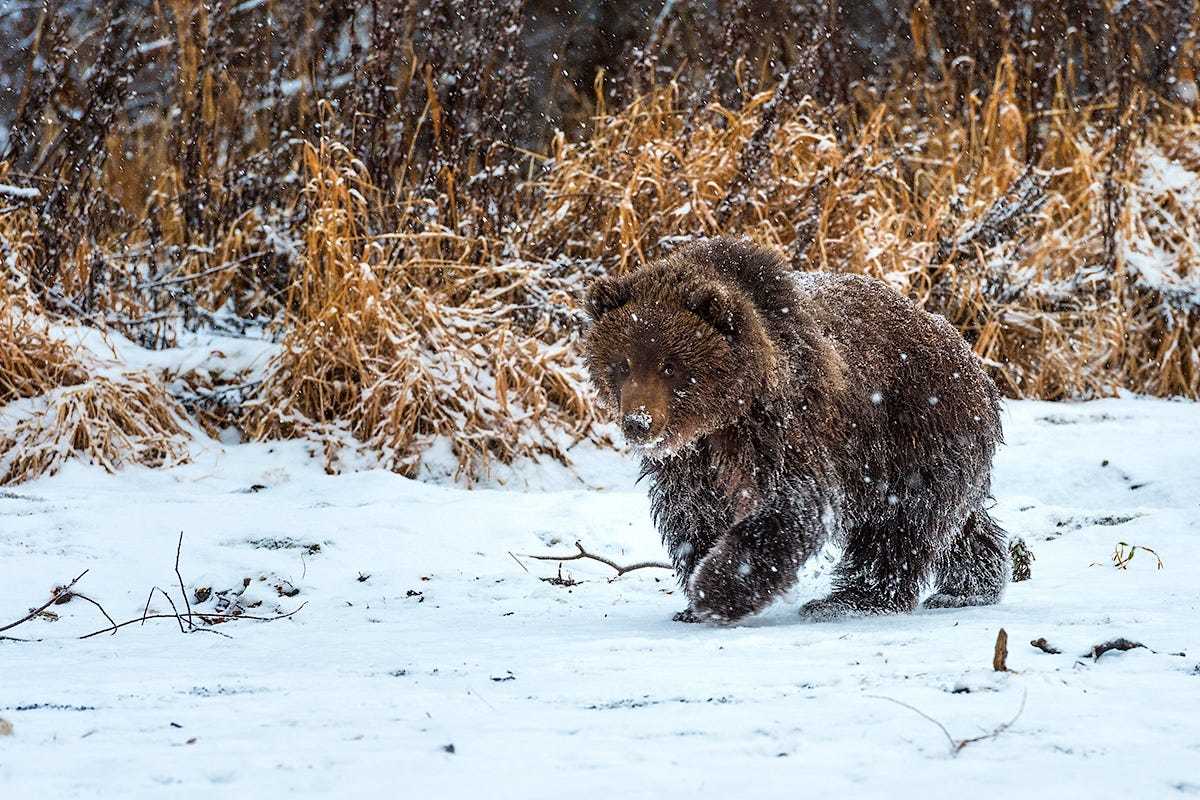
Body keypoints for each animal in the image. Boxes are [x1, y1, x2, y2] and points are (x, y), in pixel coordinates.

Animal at [578, 237, 1003, 623]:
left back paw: (849, 601)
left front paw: (715, 590)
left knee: (899, 523)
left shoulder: (783, 425)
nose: (639, 422)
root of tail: (967, 353)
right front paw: (696, 592)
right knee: (956, 522)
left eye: (670, 365)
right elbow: (693, 511)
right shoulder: (691, 459)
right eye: (622, 364)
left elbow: (790, 502)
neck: (725, 414)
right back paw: (970, 585)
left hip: (911, 431)